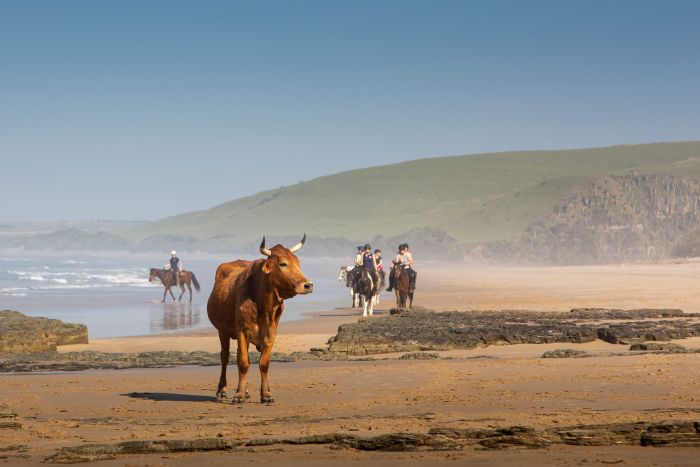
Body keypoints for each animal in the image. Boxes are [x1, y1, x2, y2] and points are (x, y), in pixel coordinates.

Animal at [204, 236, 310, 404]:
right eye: (282, 264)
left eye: (298, 263)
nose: (307, 285)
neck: (264, 305)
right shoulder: (242, 329)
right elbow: (243, 363)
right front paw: (238, 396)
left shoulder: (272, 332)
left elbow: (263, 363)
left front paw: (265, 394)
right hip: (222, 331)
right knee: (225, 357)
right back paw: (222, 390)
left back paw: (245, 391)